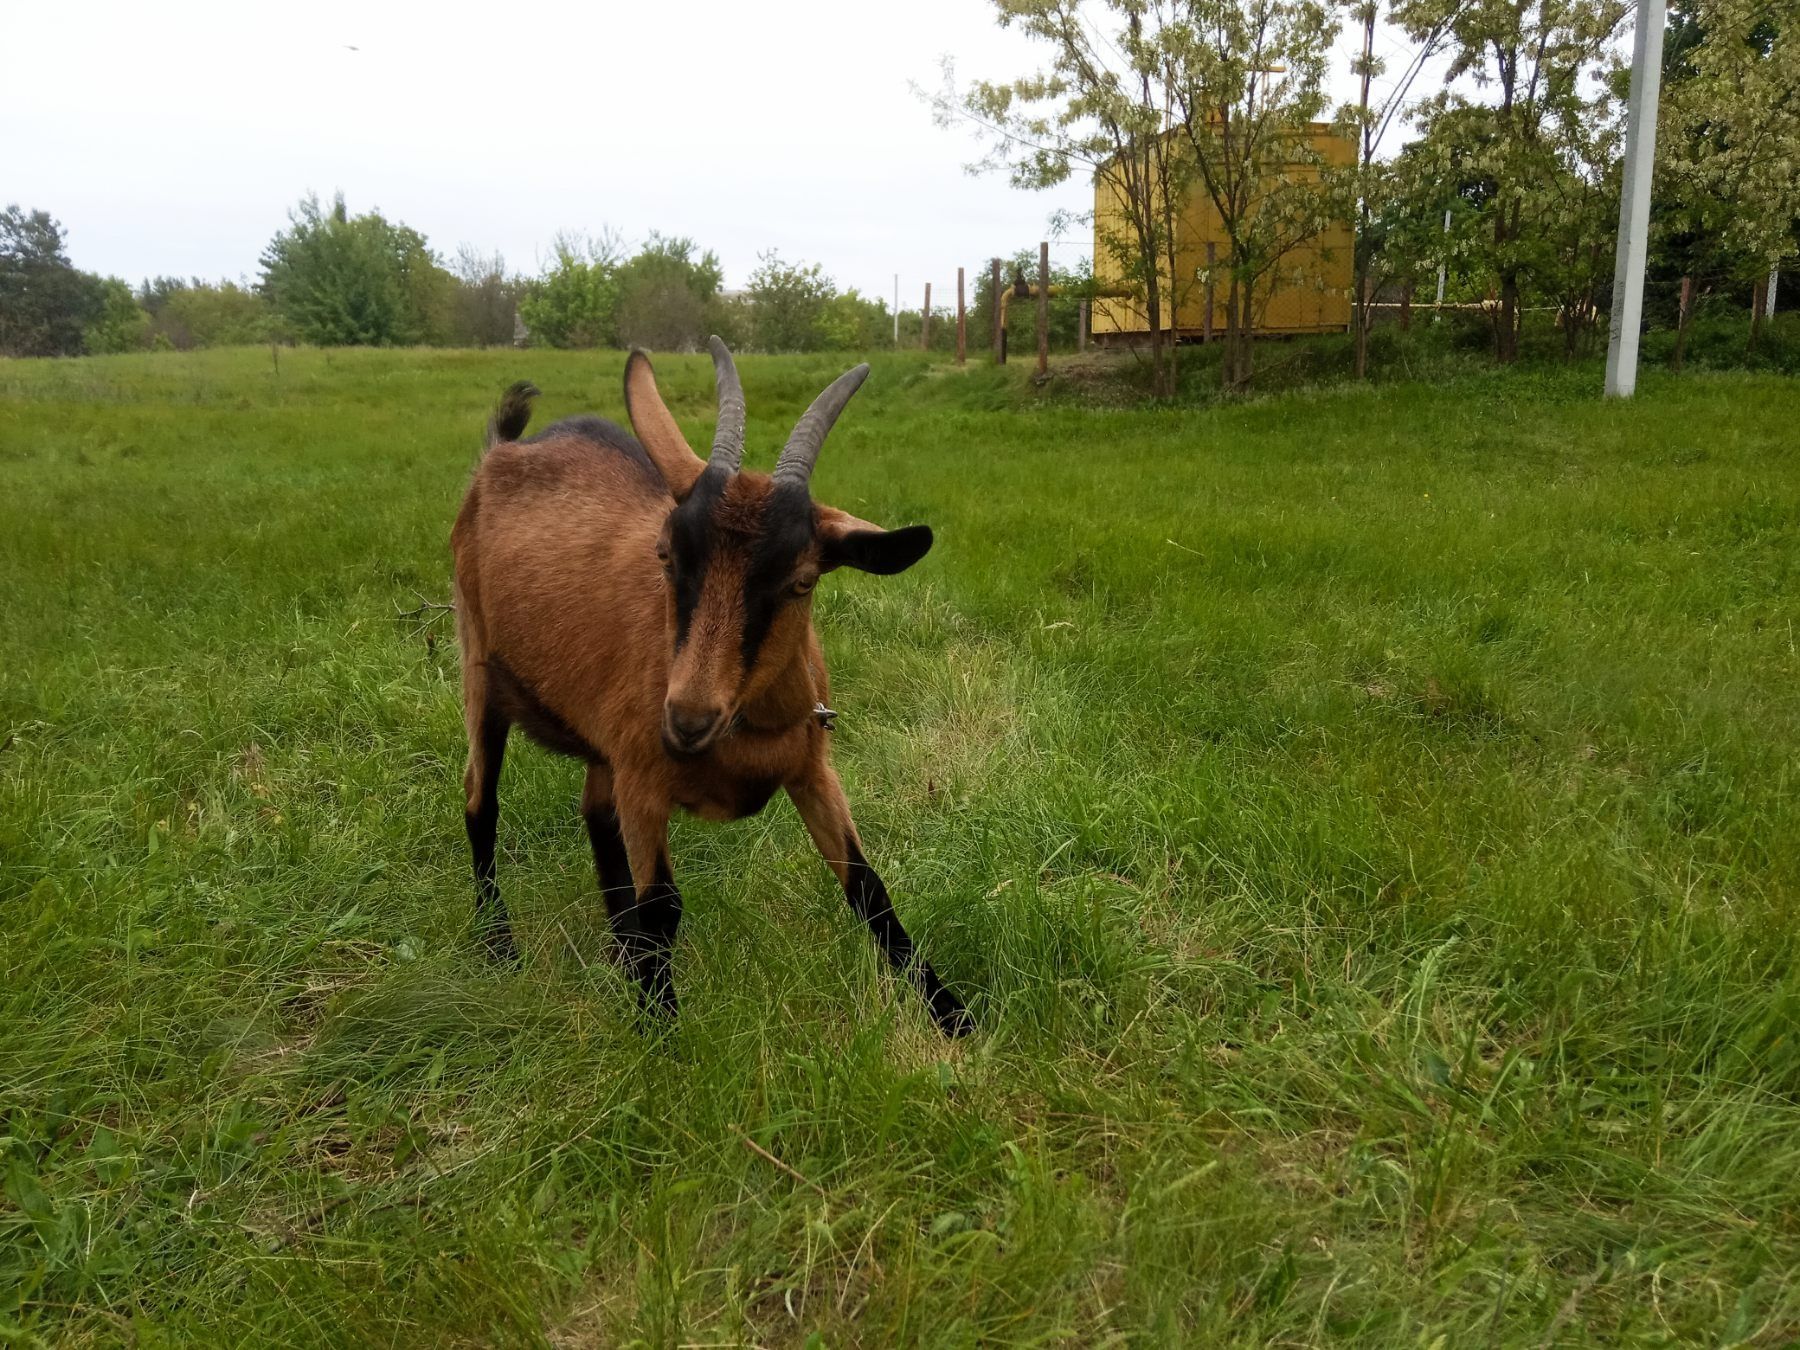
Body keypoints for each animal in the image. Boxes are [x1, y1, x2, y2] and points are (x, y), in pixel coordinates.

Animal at [457, 338, 979, 1036]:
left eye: (802, 580)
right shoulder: (645, 780)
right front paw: (661, 1034)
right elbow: (662, 909)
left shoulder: (811, 767)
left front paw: (953, 1016)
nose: (686, 720)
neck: (744, 733)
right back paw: (500, 944)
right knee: (480, 802)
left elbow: (867, 884)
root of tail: (504, 451)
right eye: (665, 554)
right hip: (479, 670)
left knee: (594, 814)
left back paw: (617, 953)